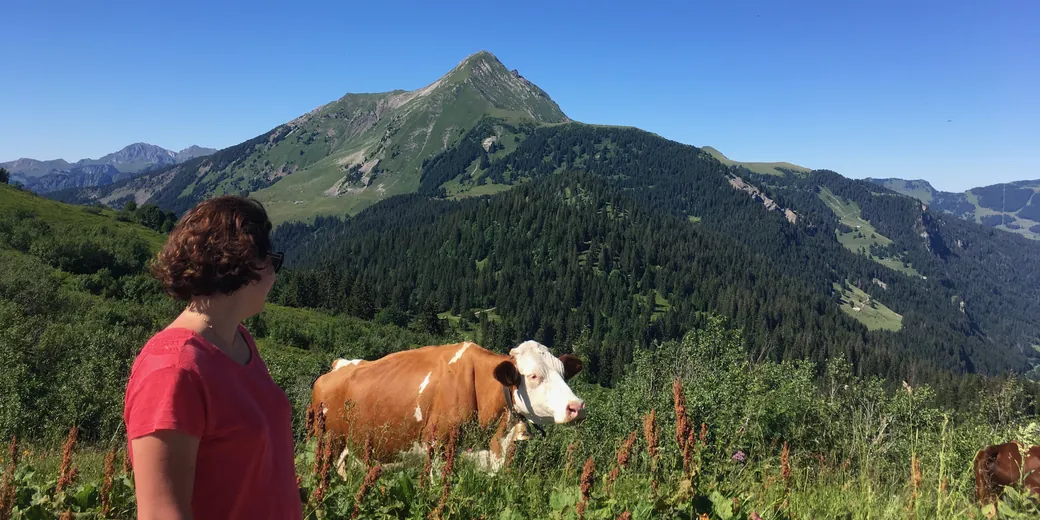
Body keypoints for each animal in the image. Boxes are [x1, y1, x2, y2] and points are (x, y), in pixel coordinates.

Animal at [310, 339, 586, 475]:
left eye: (563, 373)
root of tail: (339, 365)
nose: (577, 407)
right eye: (533, 376)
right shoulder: (439, 445)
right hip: (325, 441)